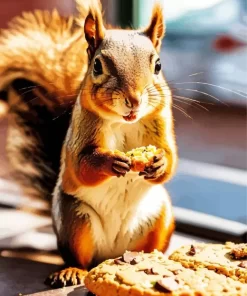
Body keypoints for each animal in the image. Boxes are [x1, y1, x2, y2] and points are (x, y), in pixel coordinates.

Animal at [0, 0, 178, 288]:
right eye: (97, 66)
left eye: (158, 65)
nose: (134, 100)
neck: (124, 122)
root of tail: (112, 255)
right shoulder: (81, 131)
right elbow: (81, 165)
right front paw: (111, 161)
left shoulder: (161, 119)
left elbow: (171, 157)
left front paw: (159, 162)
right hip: (75, 220)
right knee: (79, 257)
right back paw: (72, 271)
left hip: (160, 217)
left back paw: (153, 260)